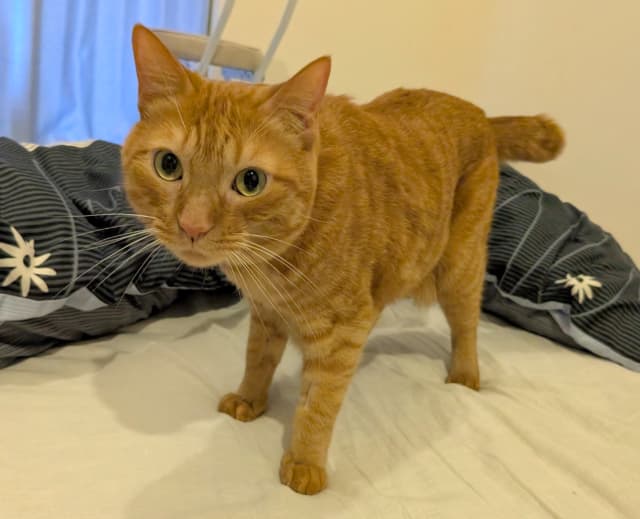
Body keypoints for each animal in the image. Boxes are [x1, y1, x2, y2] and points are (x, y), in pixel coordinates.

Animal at [122, 24, 564, 495]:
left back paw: (464, 375)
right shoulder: (267, 314)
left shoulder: (341, 334)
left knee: (467, 327)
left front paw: (305, 462)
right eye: (168, 165)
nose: (193, 226)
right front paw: (250, 398)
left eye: (250, 181)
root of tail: (478, 111)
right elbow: (258, 359)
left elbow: (318, 404)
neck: (273, 261)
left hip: (458, 269)